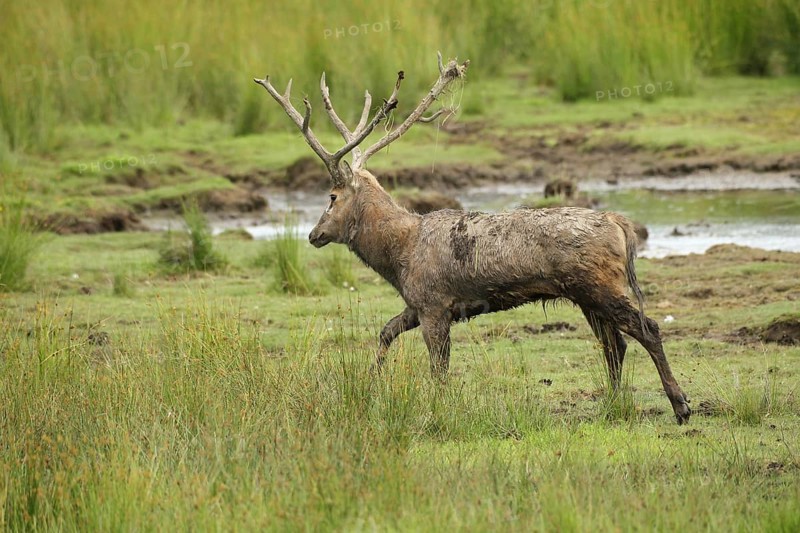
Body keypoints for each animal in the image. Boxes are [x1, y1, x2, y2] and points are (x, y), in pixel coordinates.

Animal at [254, 53, 691, 425]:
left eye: (331, 196)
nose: (313, 235)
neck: (398, 257)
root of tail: (619, 223)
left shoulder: (434, 304)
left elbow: (438, 369)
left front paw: (436, 410)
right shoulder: (417, 304)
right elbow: (386, 331)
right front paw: (372, 380)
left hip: (599, 284)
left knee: (647, 328)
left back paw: (681, 405)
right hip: (585, 293)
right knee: (615, 344)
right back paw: (613, 403)